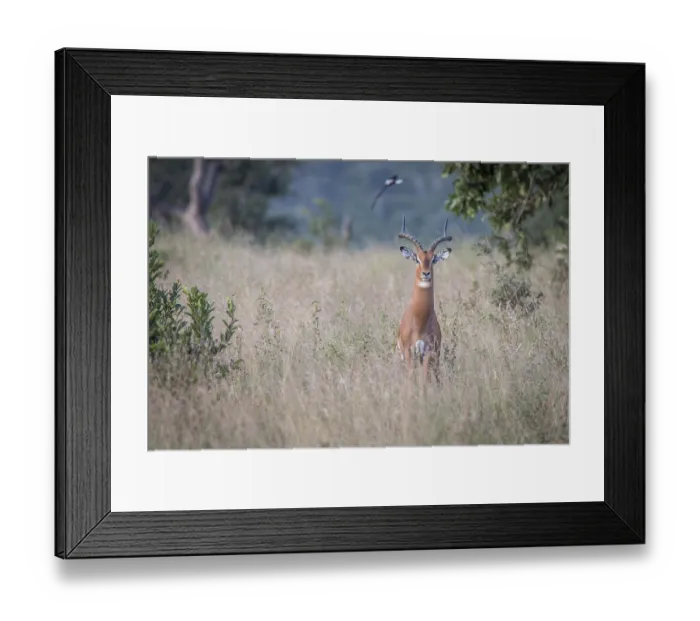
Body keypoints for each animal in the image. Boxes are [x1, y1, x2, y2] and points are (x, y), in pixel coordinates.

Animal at [396, 215, 452, 382]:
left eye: (433, 259)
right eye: (417, 259)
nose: (426, 274)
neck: (419, 321)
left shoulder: (428, 353)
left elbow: (424, 380)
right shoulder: (408, 352)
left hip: (434, 358)